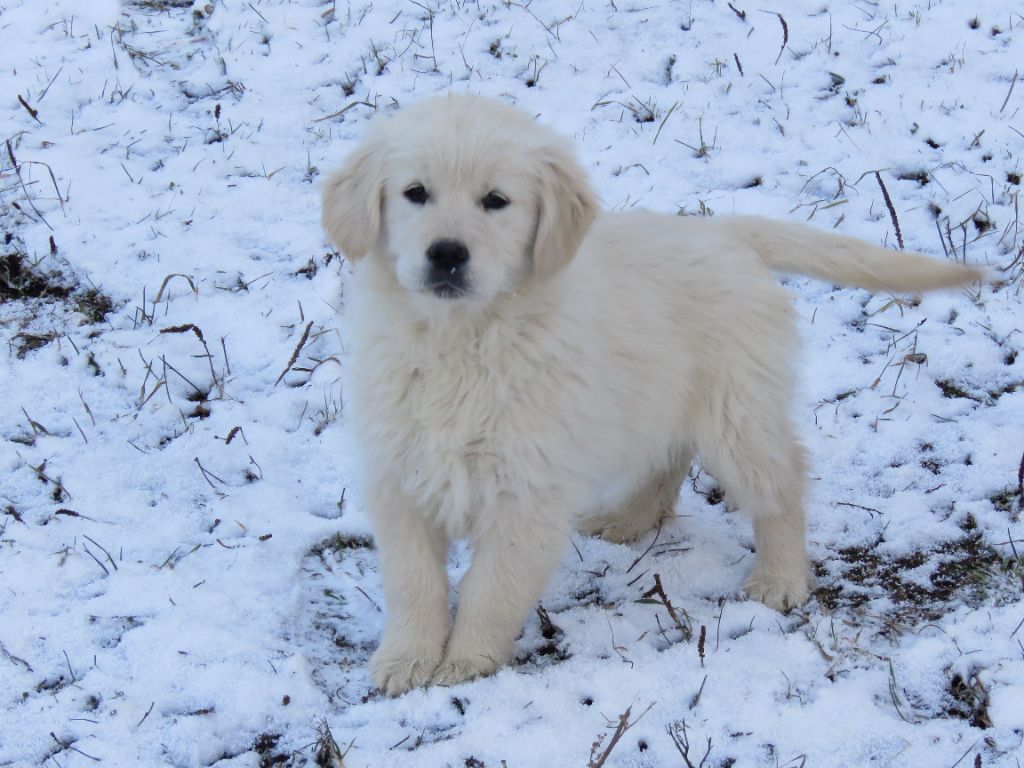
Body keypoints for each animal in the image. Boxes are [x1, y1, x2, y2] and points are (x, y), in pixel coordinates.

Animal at [321, 93, 983, 696]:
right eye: (415, 193)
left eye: (496, 202)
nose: (447, 254)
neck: (461, 340)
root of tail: (725, 231)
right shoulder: (399, 473)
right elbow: (413, 581)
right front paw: (407, 659)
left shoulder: (526, 489)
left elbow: (493, 586)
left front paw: (466, 661)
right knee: (669, 459)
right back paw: (627, 519)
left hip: (735, 410)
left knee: (781, 482)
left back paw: (779, 578)